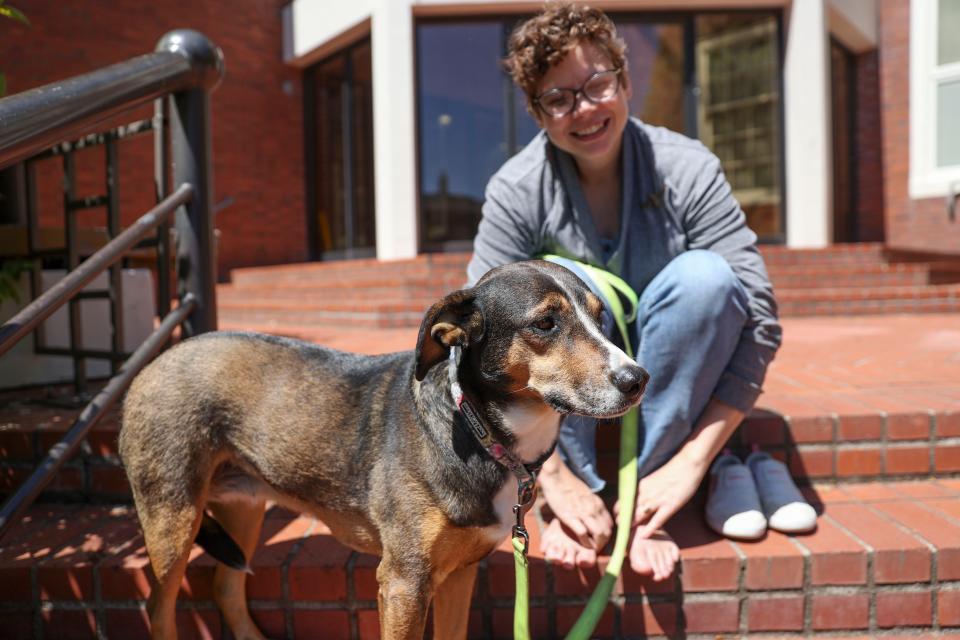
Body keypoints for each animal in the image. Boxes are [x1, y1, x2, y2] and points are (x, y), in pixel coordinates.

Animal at [118, 260, 644, 640]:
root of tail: (153, 362)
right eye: (547, 322)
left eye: (602, 318)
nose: (638, 379)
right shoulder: (403, 582)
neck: (475, 428)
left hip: (243, 510)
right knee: (159, 606)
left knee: (225, 587)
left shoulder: (459, 575)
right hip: (172, 516)